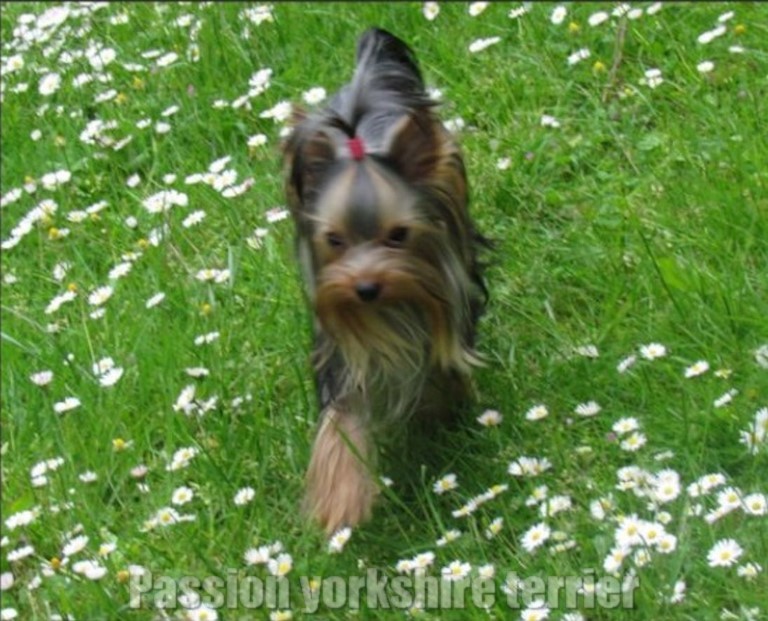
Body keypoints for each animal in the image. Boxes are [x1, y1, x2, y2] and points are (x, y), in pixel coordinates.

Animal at [283, 28, 487, 534]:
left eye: (398, 236)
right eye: (334, 240)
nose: (365, 286)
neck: (389, 310)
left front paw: (442, 413)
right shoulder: (340, 353)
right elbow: (341, 421)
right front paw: (341, 501)